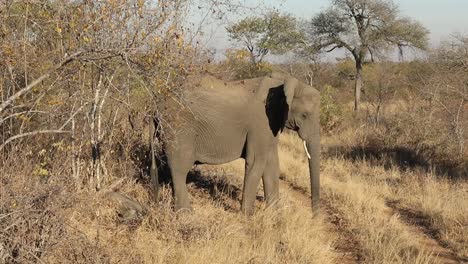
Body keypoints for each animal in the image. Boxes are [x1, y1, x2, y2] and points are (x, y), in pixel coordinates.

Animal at [151, 71, 322, 216]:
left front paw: (275, 215)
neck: (284, 82)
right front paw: (247, 217)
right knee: (180, 168)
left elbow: (272, 164)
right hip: (178, 126)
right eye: (305, 115)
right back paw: (186, 214)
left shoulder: (271, 124)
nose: (314, 217)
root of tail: (156, 103)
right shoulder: (260, 122)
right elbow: (256, 161)